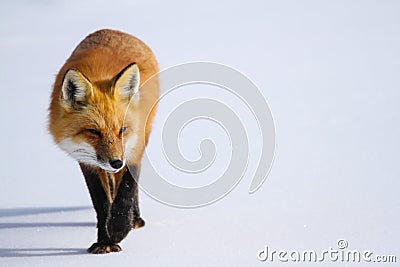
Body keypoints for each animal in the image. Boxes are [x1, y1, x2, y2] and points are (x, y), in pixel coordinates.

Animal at [50, 29, 160, 255]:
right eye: (93, 131)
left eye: (122, 130)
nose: (116, 162)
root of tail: (114, 31)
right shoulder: (88, 162)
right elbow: (101, 203)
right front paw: (105, 241)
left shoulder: (132, 149)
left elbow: (126, 190)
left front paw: (119, 228)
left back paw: (135, 219)